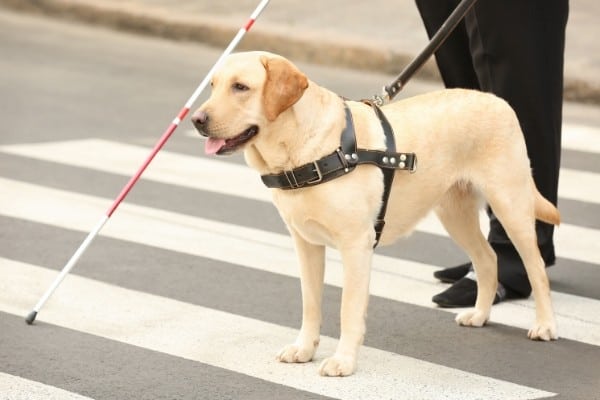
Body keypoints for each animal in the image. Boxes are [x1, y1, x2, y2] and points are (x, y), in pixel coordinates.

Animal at [190, 50, 560, 376]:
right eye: (213, 85)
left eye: (241, 87)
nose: (196, 120)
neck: (306, 150)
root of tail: (497, 100)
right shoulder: (306, 243)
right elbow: (310, 303)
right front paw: (304, 349)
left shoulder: (356, 244)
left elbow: (348, 309)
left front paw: (343, 361)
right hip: (454, 212)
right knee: (486, 258)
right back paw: (480, 314)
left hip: (510, 203)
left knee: (535, 268)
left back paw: (545, 325)